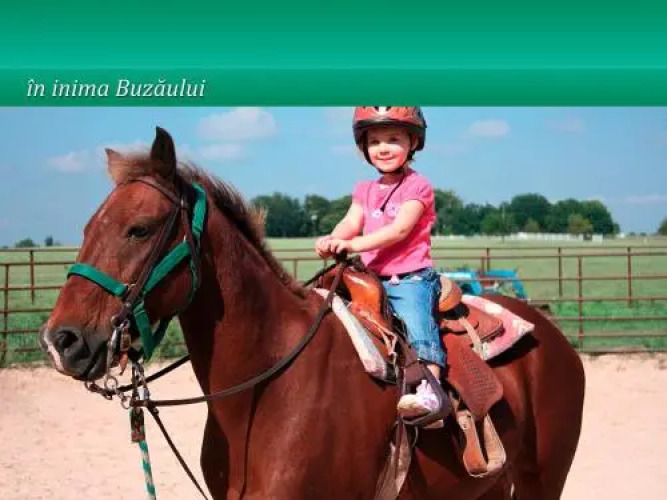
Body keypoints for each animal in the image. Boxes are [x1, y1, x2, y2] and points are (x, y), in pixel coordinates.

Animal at [39, 126, 585, 499]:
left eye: (140, 228)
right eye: (87, 227)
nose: (61, 340)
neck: (270, 383)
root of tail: (551, 335)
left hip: (543, 479)